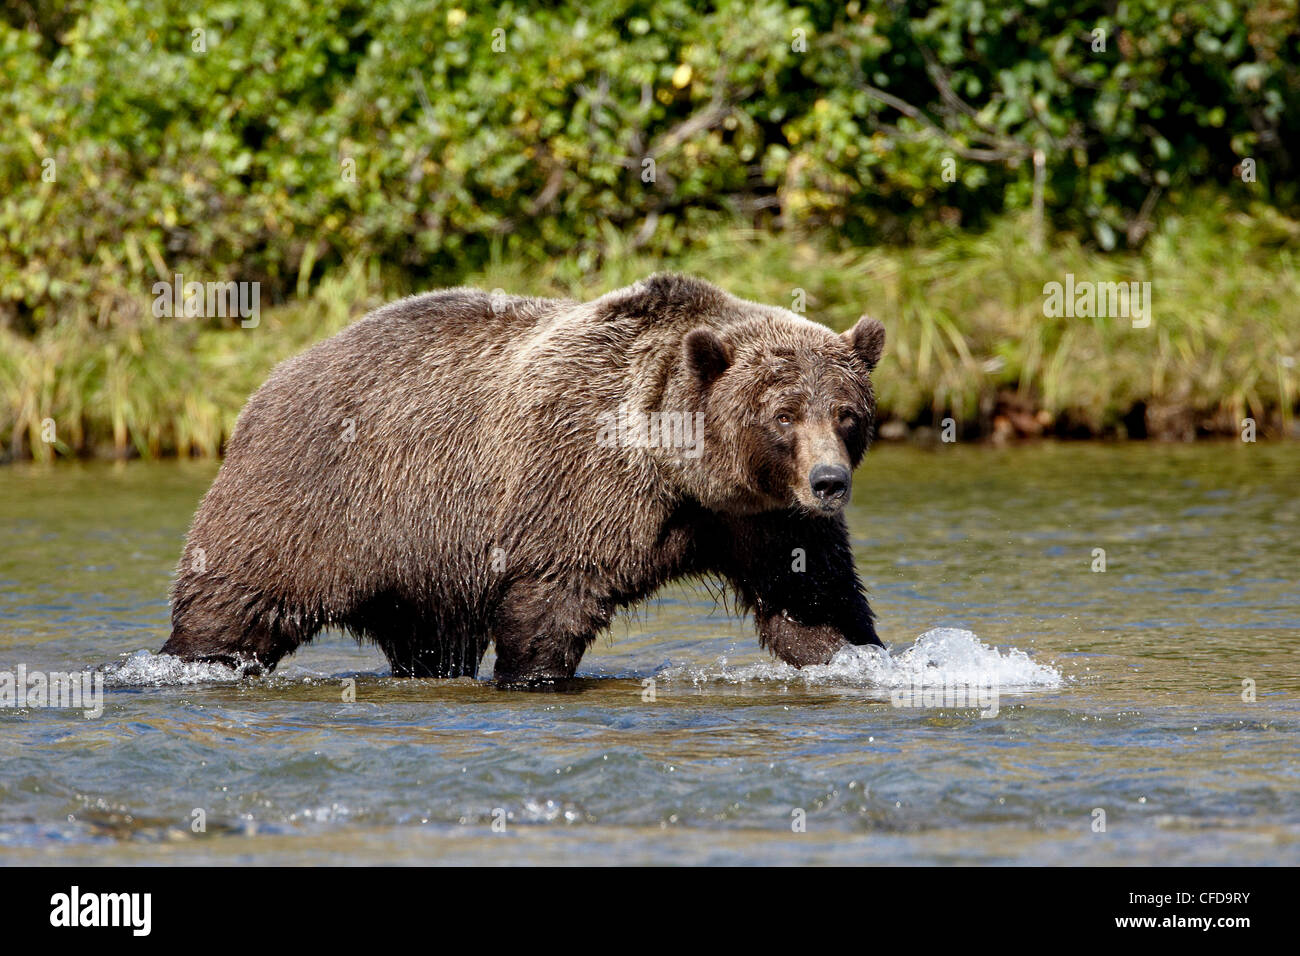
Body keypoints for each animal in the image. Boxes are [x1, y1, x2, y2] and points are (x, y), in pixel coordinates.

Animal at [159, 273, 883, 686]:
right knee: (236, 600)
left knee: (427, 637)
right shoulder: (581, 479)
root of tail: (272, 378)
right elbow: (553, 593)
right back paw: (192, 659)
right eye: (784, 413)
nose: (828, 482)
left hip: (421, 562)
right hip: (316, 501)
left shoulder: (764, 519)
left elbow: (813, 601)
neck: (681, 474)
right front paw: (531, 675)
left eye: (846, 413)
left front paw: (860, 655)